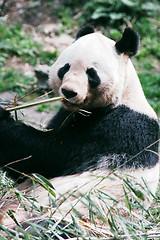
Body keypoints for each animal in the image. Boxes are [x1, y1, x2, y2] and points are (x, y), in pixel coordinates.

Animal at [0, 25, 159, 230]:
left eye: (91, 74)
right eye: (64, 68)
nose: (69, 92)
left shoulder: (124, 128)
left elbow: (51, 157)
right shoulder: (65, 115)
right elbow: (28, 170)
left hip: (81, 216)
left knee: (49, 227)